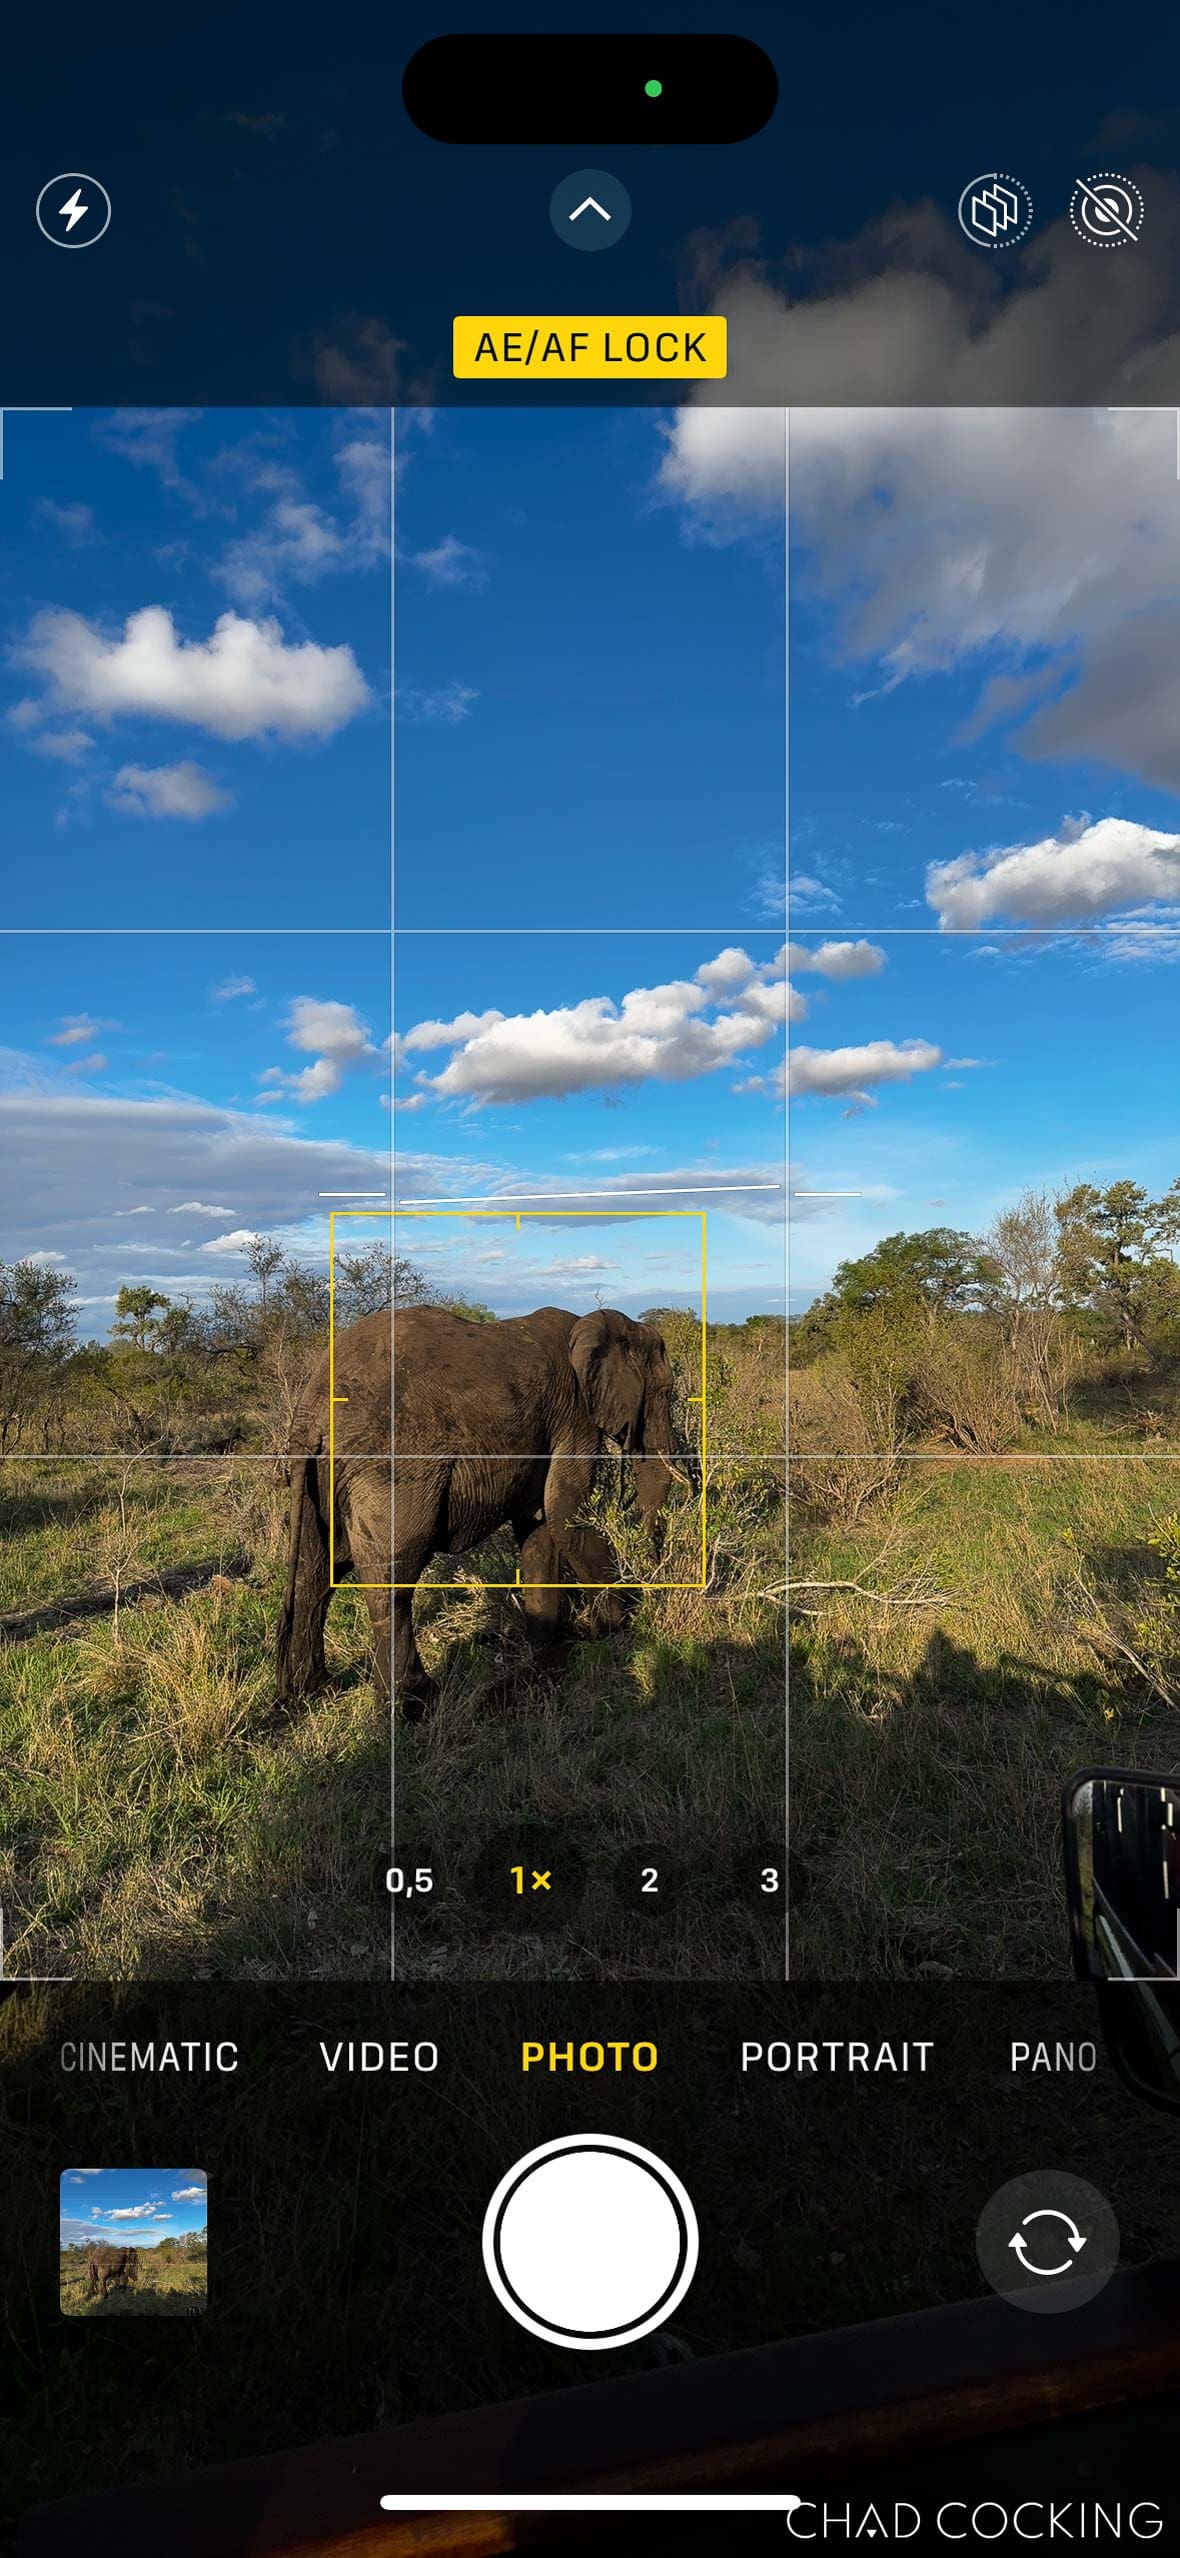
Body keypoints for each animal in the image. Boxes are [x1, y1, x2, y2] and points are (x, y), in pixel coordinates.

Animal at [274, 1303, 692, 1717]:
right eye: (666, 1391)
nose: (651, 1568)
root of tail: (309, 1412)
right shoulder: (574, 1415)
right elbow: (565, 1510)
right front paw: (613, 1628)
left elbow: (539, 1525)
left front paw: (547, 1648)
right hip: (389, 1469)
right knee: (392, 1574)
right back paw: (415, 1706)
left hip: (317, 1479)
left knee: (316, 1572)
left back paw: (313, 1692)